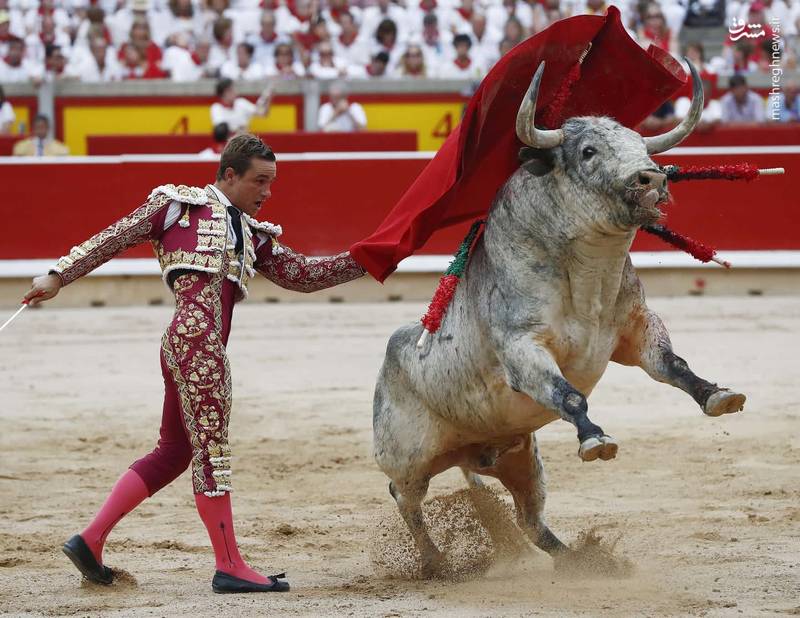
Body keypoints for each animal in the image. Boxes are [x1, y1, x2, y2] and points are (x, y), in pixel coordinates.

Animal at [372, 61, 748, 572]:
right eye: (588, 151)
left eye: (639, 141)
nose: (651, 178)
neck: (590, 276)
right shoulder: (522, 348)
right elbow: (569, 395)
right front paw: (596, 439)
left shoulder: (636, 329)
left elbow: (674, 366)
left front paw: (718, 396)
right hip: (407, 457)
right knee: (404, 498)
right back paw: (436, 564)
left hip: (519, 460)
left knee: (529, 519)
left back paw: (579, 561)